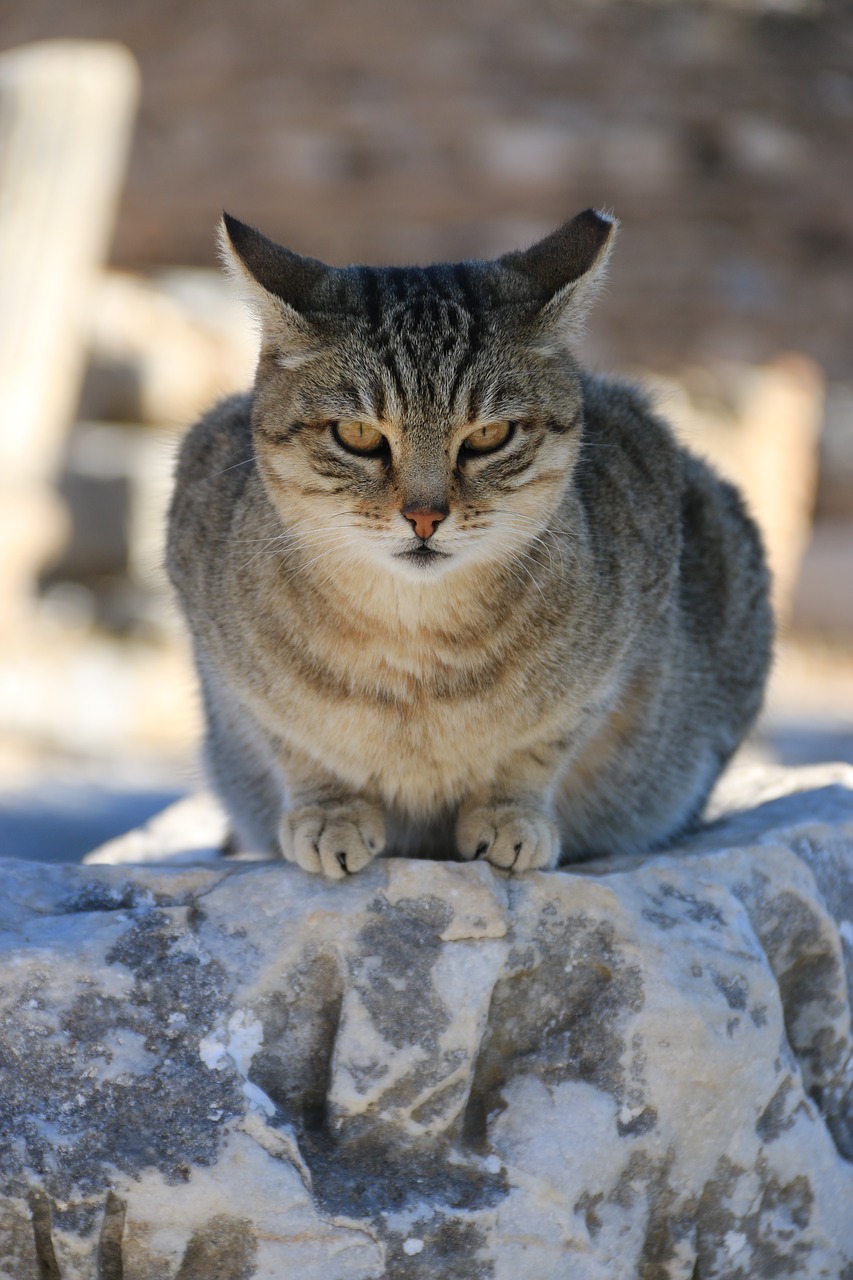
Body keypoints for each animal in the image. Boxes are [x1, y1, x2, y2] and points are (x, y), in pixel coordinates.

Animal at [166, 209, 768, 875]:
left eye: (488, 436)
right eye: (357, 434)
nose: (425, 517)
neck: (415, 646)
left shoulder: (615, 658)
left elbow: (539, 748)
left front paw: (509, 817)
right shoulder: (230, 670)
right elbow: (297, 745)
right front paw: (329, 814)